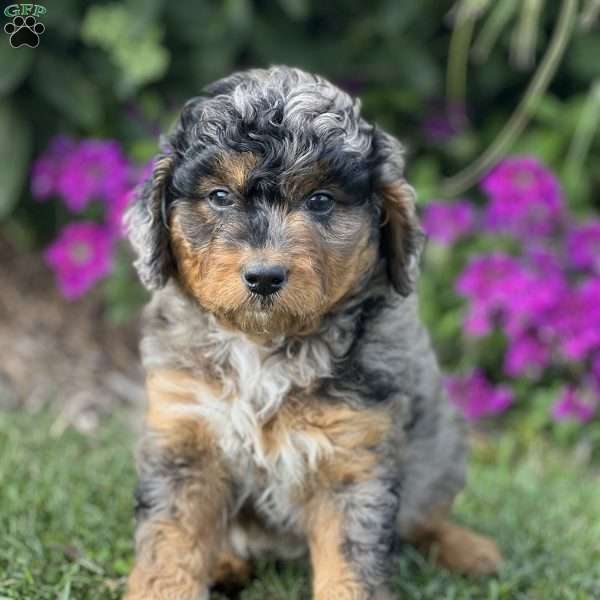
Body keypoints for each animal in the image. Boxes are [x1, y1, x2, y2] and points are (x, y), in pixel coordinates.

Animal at [123, 67, 502, 600]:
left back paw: (470, 549)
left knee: (426, 517)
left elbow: (352, 566)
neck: (266, 345)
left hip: (441, 448)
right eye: (219, 196)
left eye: (320, 200)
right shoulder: (186, 438)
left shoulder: (354, 458)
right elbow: (169, 545)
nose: (263, 277)